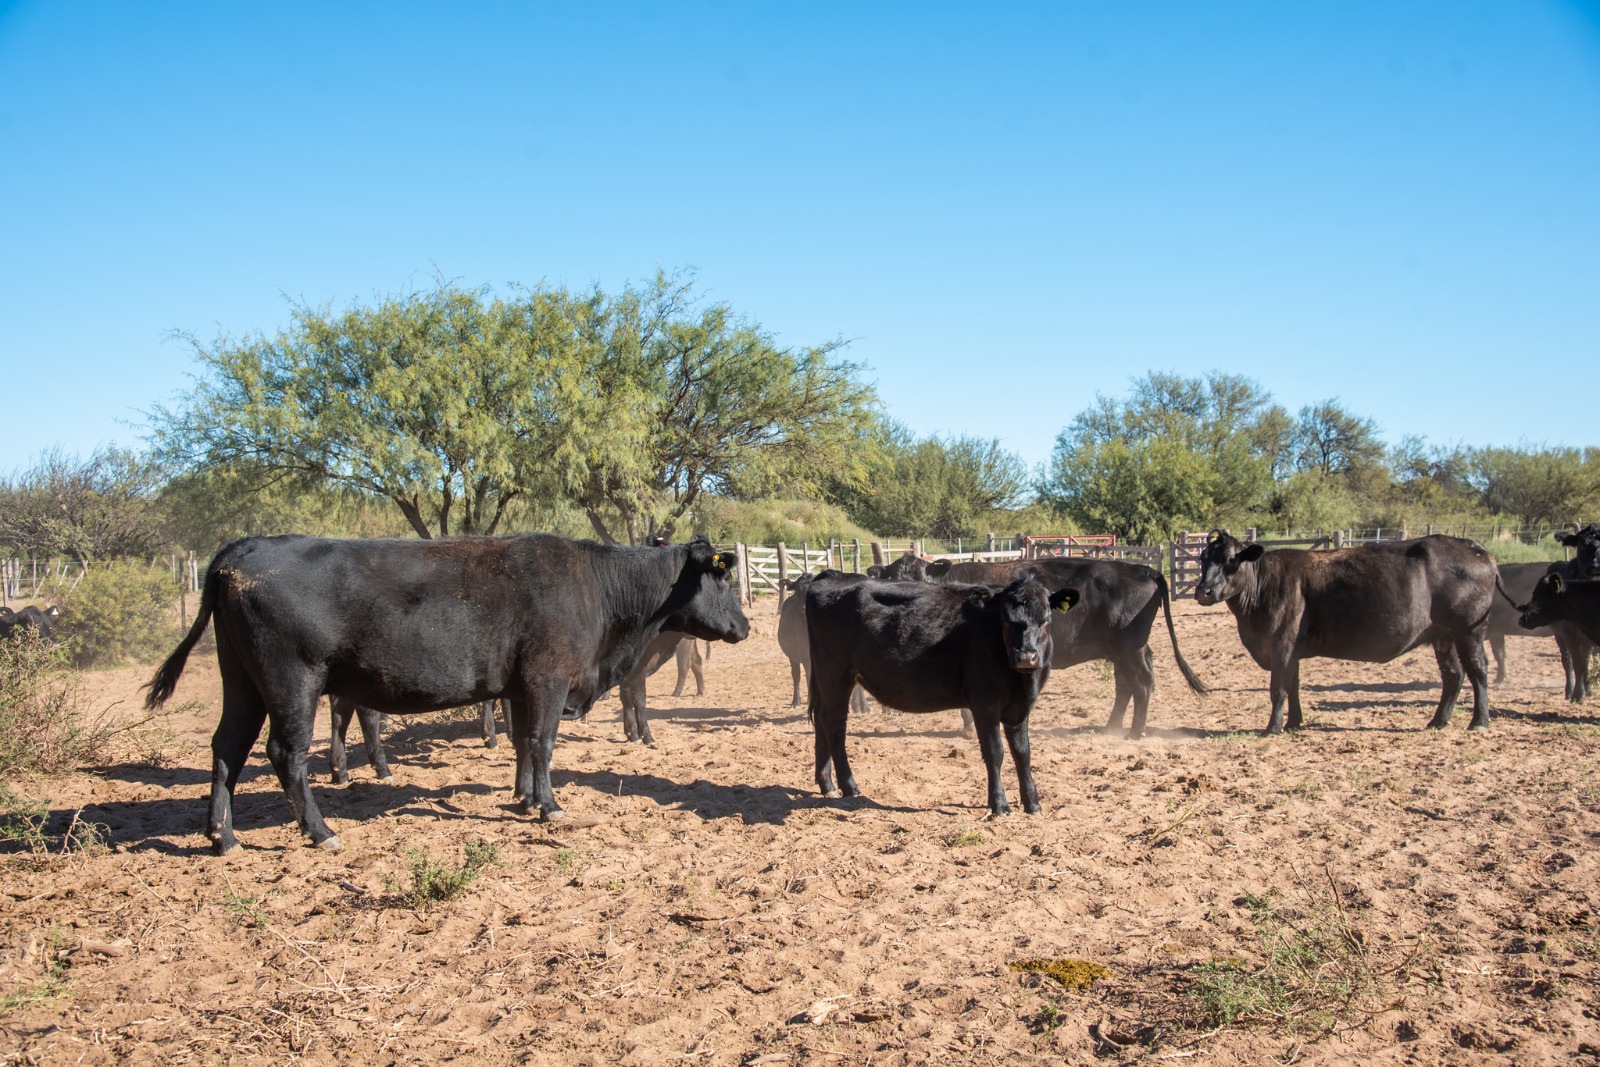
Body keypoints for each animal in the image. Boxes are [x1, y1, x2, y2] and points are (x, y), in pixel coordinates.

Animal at [147, 537, 745, 857]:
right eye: (724, 581)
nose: (745, 625)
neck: (596, 587)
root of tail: (240, 551)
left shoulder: (520, 687)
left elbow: (522, 744)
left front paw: (524, 798)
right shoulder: (548, 681)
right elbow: (543, 743)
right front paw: (550, 807)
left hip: (243, 684)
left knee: (227, 748)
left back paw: (222, 836)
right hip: (293, 681)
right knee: (285, 755)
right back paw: (320, 833)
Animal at [806, 575, 1081, 819]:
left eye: (1046, 620)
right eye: (1004, 619)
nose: (1026, 657)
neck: (1021, 681)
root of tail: (831, 576)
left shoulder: (1020, 706)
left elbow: (1023, 752)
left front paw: (1032, 804)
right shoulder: (984, 703)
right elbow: (996, 752)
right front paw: (1000, 805)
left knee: (821, 720)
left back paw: (827, 784)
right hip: (836, 673)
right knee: (834, 724)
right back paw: (848, 786)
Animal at [870, 550, 1203, 742]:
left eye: (919, 576)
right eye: (891, 576)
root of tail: (1141, 569)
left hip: (1130, 648)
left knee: (1143, 682)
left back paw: (1134, 733)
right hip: (1122, 652)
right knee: (1127, 685)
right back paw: (1113, 727)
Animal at [1203, 534, 1497, 735]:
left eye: (1231, 559)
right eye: (1203, 559)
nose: (1203, 590)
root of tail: (1475, 548)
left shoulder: (1282, 646)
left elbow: (1279, 689)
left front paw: (1272, 728)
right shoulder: (1292, 651)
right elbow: (1293, 686)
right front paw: (1294, 723)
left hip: (1469, 631)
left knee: (1478, 671)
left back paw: (1479, 721)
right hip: (1443, 637)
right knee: (1453, 675)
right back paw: (1438, 720)